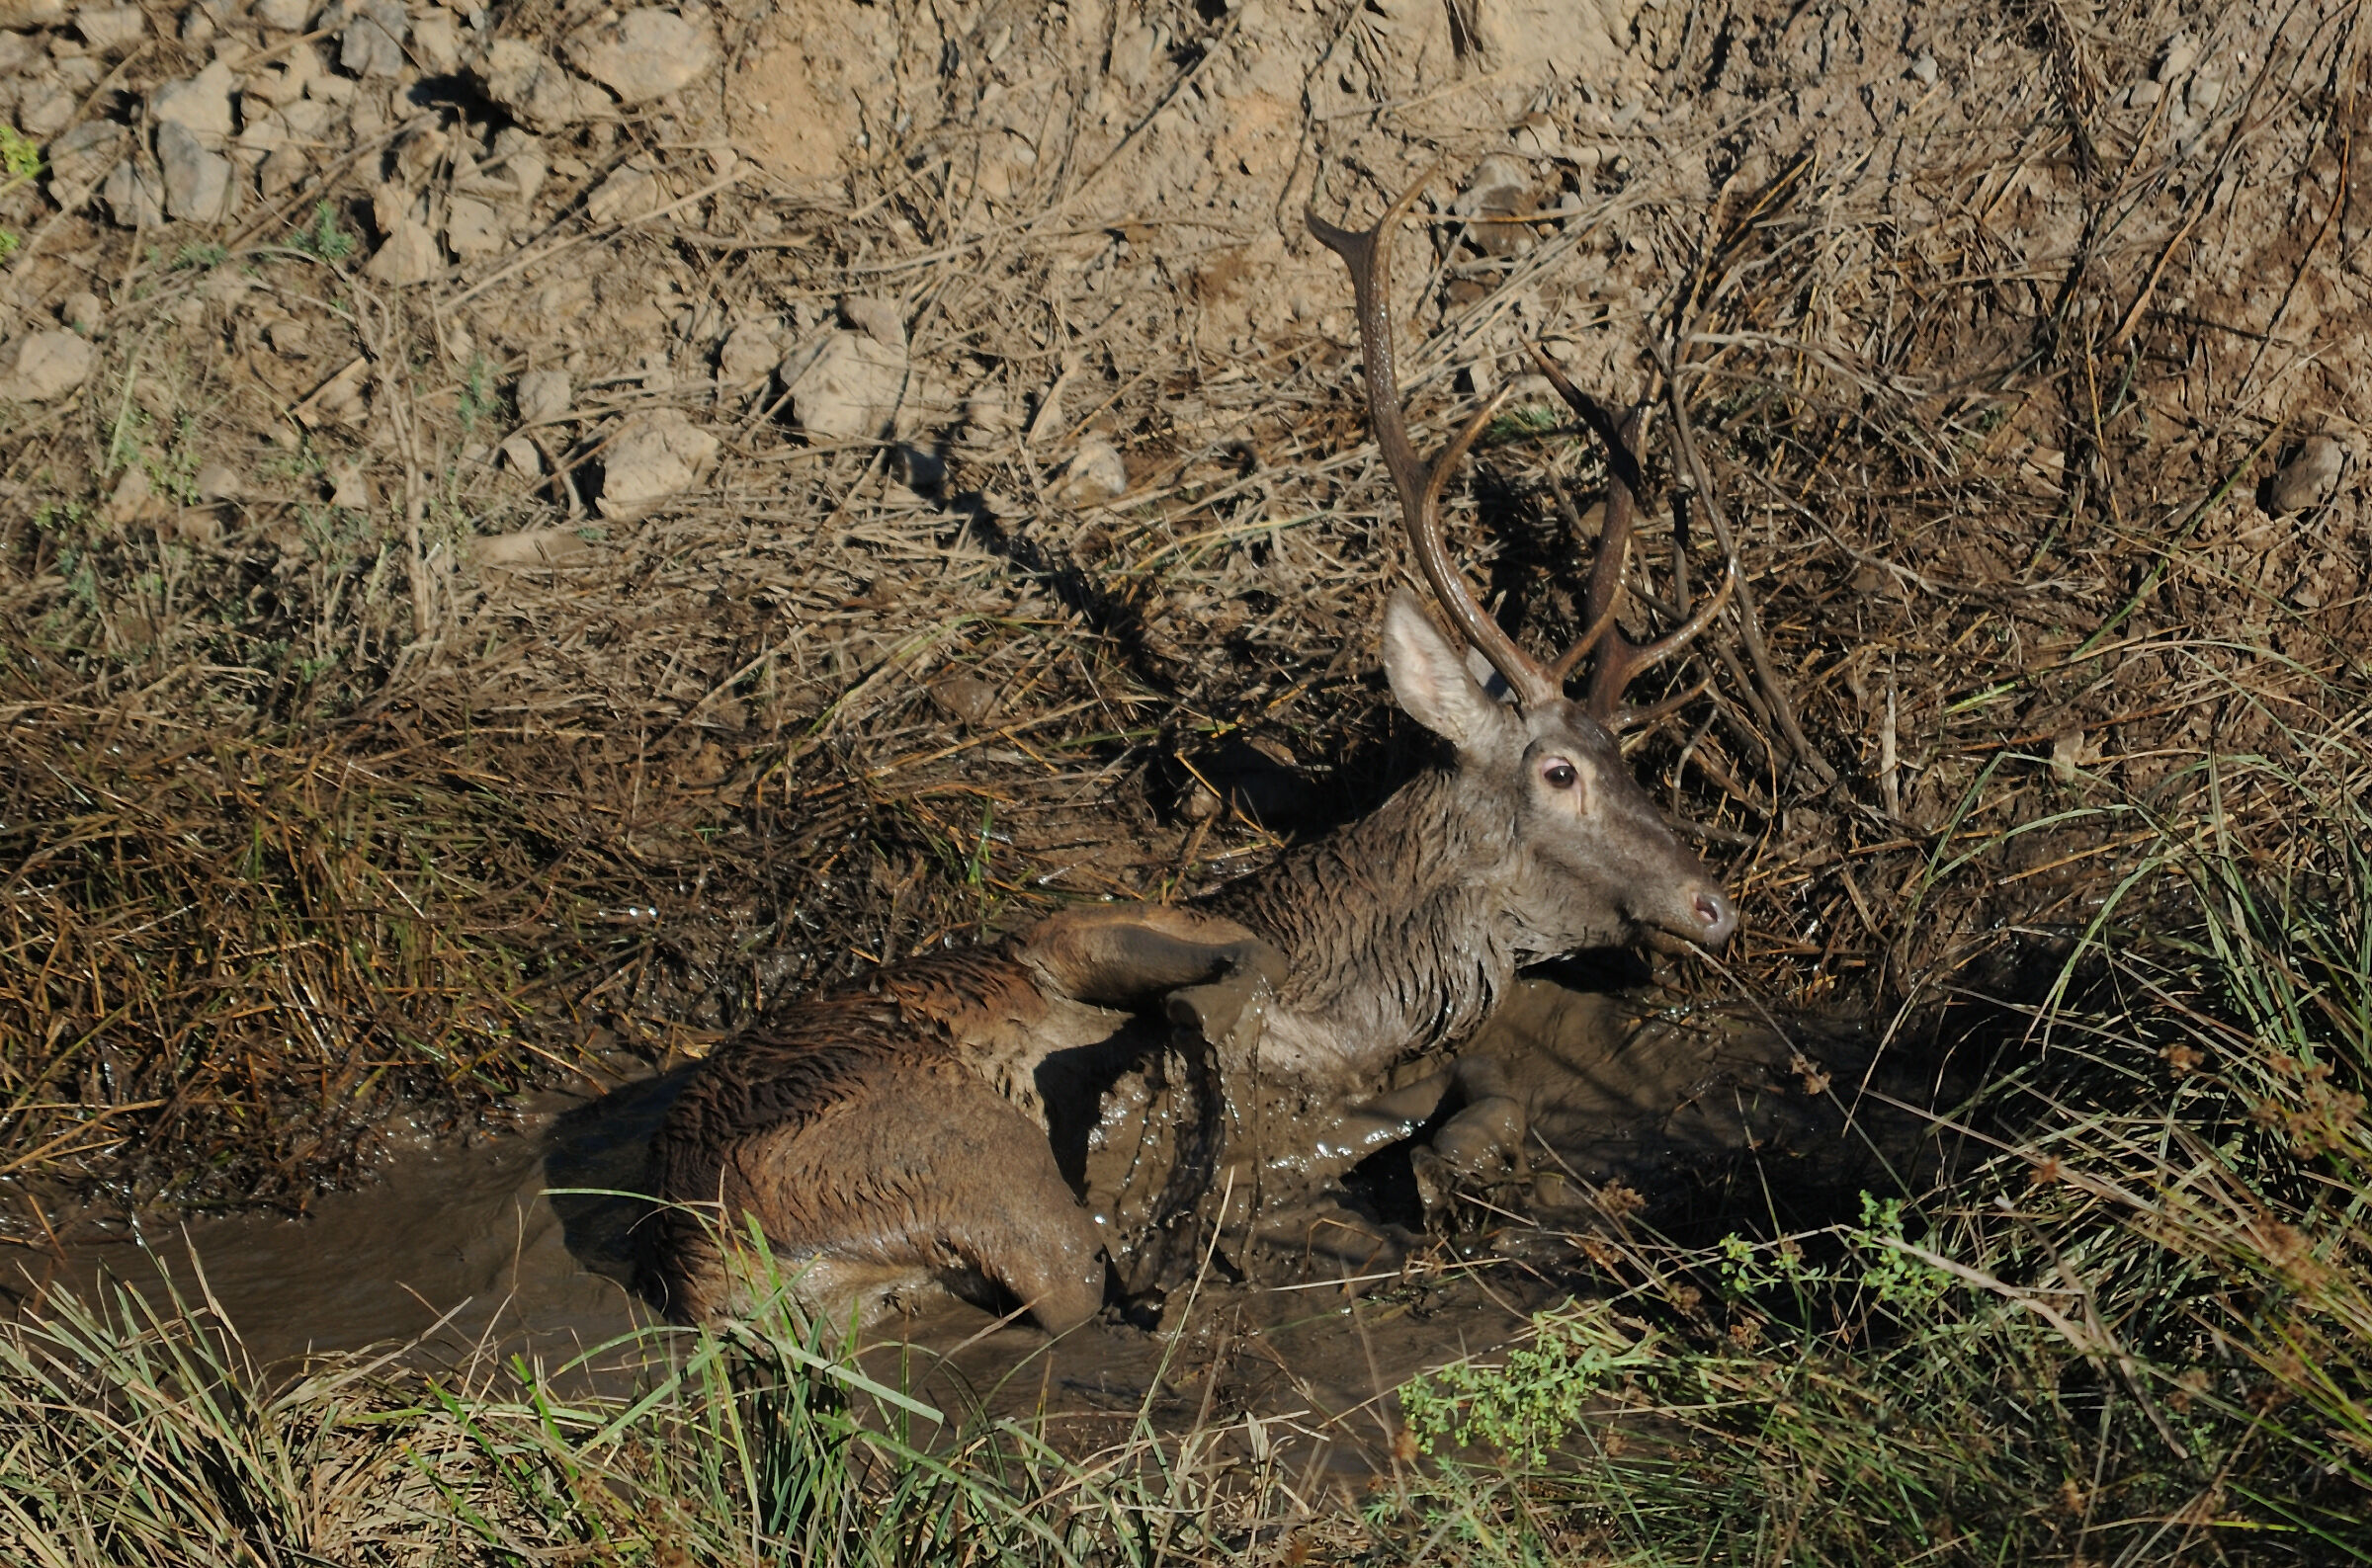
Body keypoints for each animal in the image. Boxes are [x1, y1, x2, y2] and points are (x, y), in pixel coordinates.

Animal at [643, 181, 1741, 1335]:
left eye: (1624, 755)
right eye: (1559, 772)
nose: (1714, 904)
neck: (1350, 1003)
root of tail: (702, 1262)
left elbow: (1458, 1081)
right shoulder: (1082, 928)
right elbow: (1216, 984)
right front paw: (1179, 1115)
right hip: (954, 1154)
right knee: (1074, 1275)